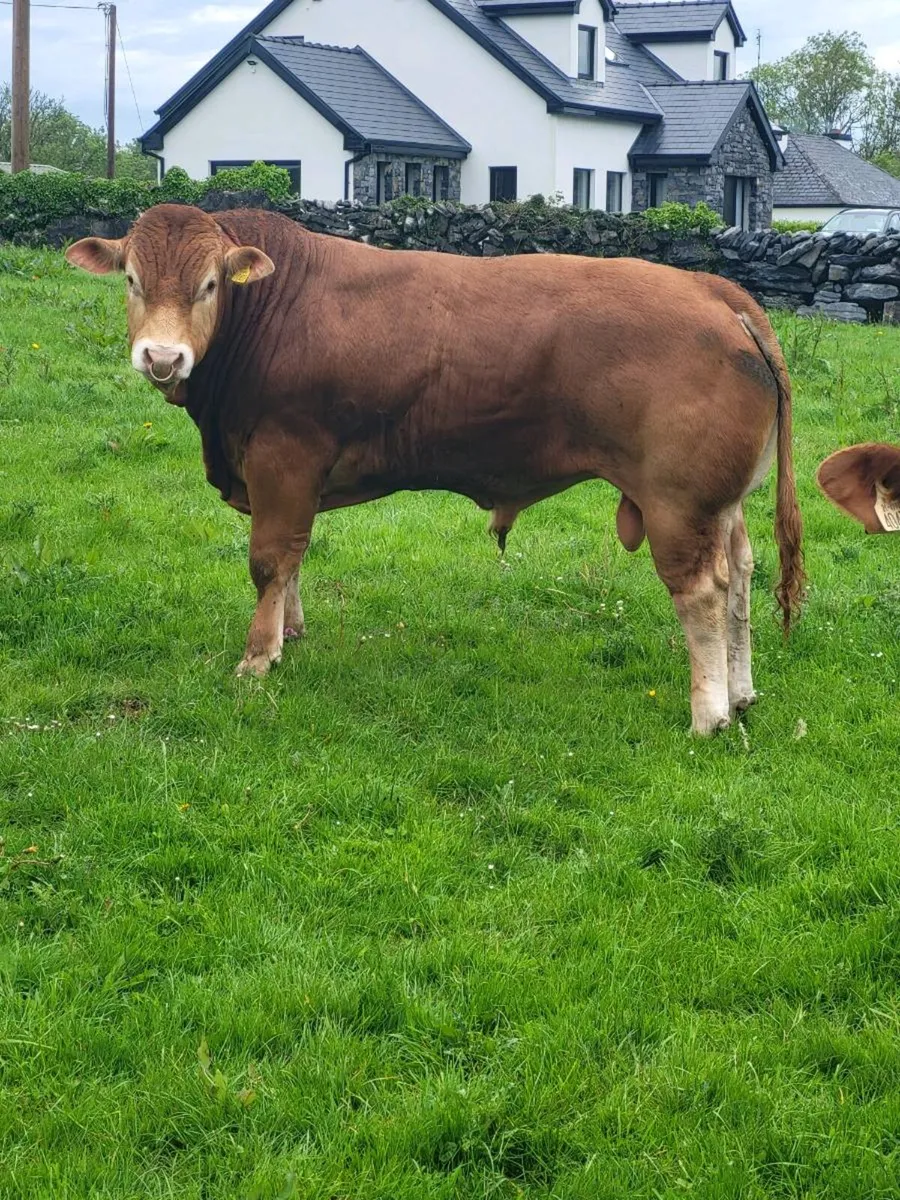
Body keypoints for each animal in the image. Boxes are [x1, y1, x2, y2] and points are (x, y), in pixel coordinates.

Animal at [64, 204, 805, 735]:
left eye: (210, 284)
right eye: (131, 280)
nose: (162, 358)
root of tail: (711, 287)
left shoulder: (283, 456)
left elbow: (271, 558)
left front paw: (257, 656)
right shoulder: (291, 478)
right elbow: (296, 554)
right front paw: (291, 632)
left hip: (679, 504)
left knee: (703, 593)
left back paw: (709, 715)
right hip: (724, 504)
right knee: (741, 577)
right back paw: (741, 693)